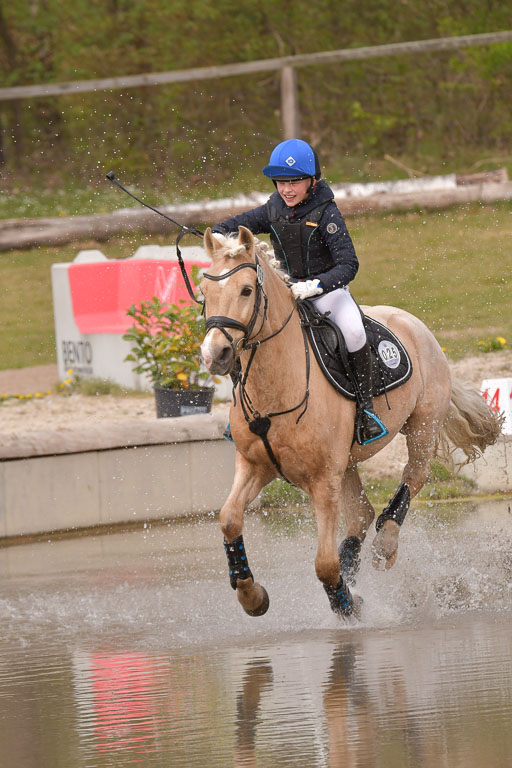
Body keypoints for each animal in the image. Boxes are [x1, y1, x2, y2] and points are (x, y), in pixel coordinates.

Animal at [199, 226, 500, 616]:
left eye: (247, 290)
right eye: (204, 293)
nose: (214, 355)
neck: (276, 384)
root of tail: (414, 323)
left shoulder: (323, 479)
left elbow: (324, 564)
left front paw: (346, 602)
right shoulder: (254, 464)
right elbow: (229, 519)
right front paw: (251, 595)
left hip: (422, 425)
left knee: (414, 476)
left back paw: (385, 545)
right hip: (349, 462)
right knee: (361, 514)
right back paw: (352, 563)